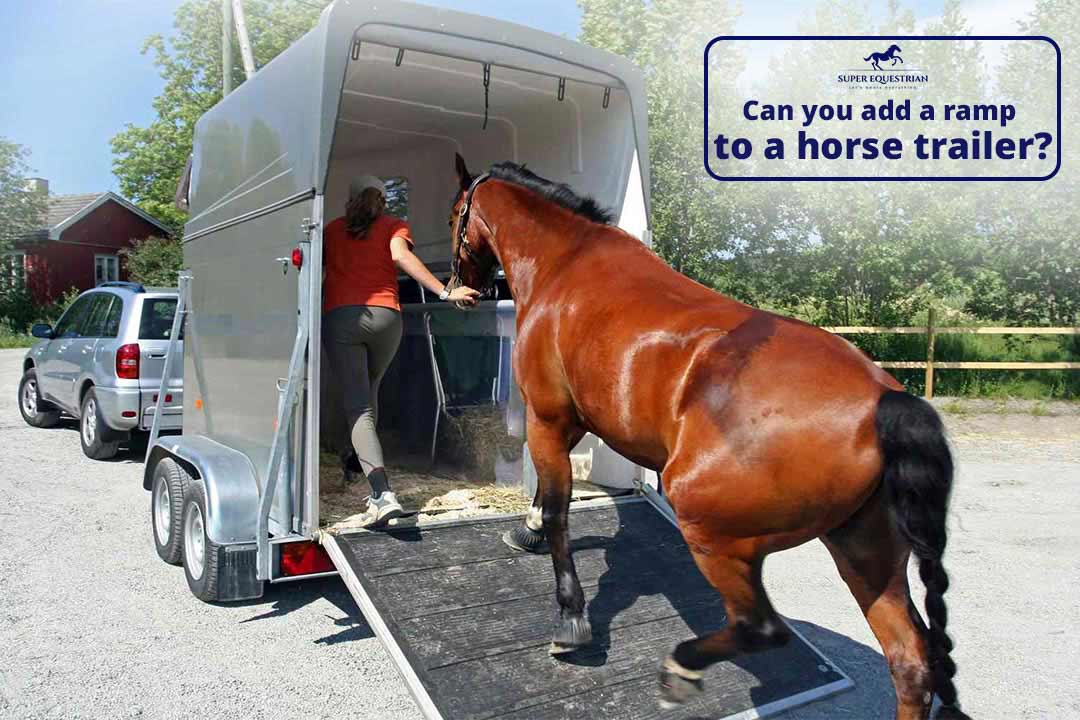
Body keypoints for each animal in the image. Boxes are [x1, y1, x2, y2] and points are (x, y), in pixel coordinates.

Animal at [446, 153, 970, 720]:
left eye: (455, 215)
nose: (458, 287)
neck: (566, 264)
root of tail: (887, 402)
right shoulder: (572, 422)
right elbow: (547, 497)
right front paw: (527, 532)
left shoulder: (547, 419)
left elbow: (559, 512)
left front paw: (570, 617)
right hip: (865, 554)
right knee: (910, 662)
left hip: (714, 533)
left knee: (762, 628)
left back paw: (682, 667)